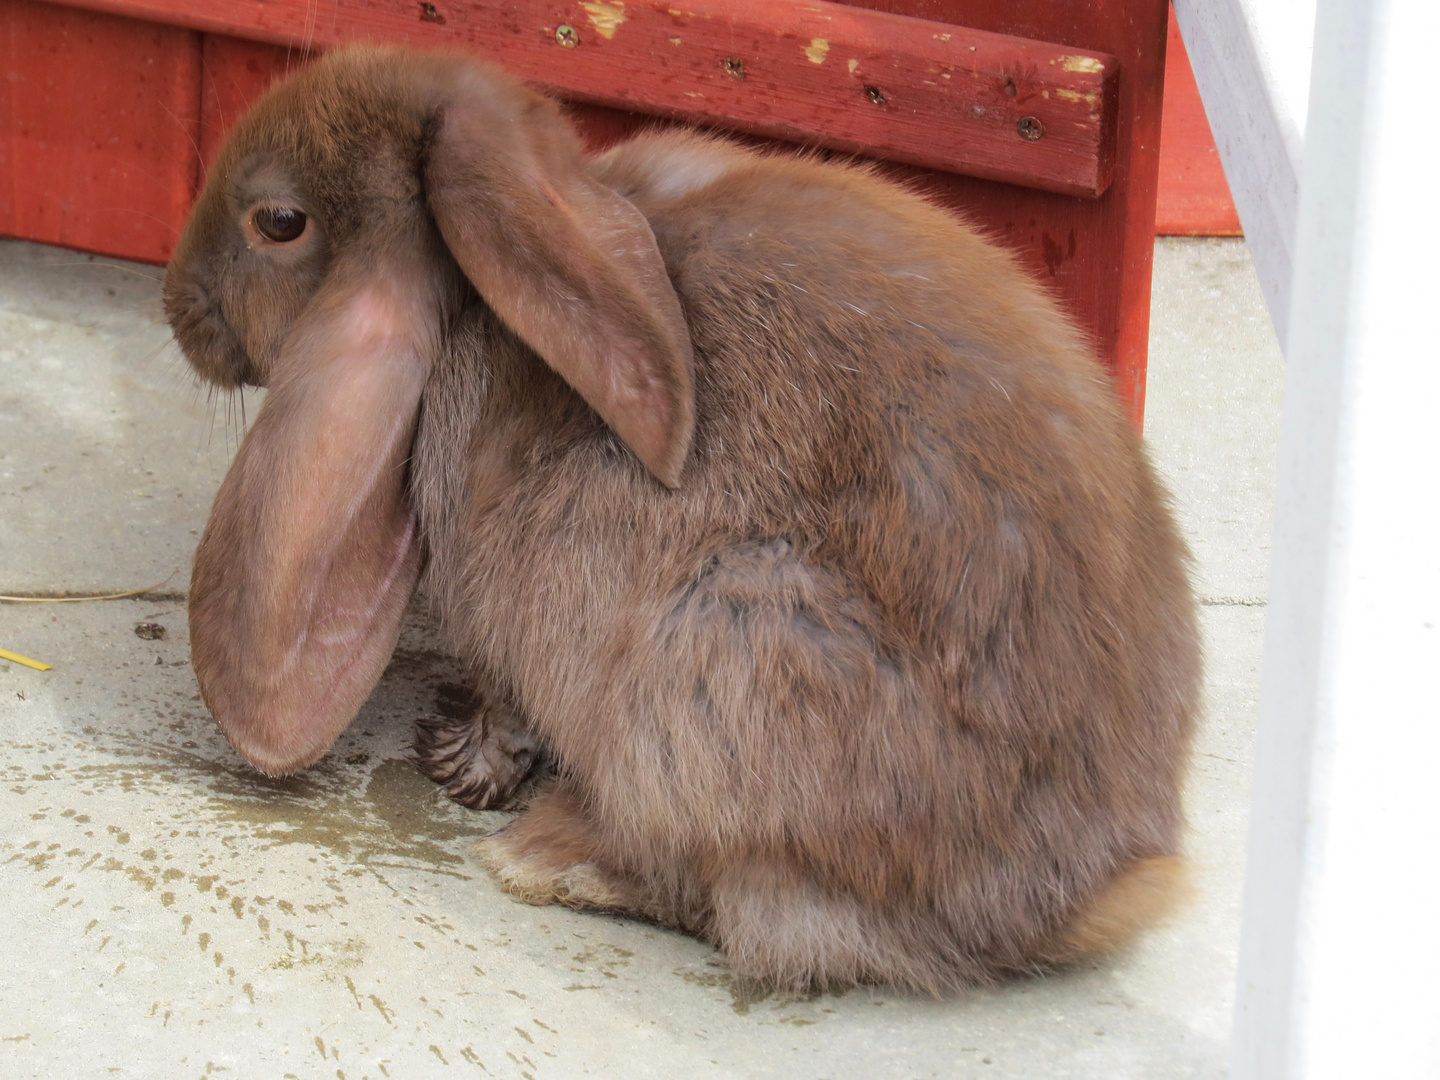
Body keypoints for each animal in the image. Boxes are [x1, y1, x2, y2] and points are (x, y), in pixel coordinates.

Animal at [163, 44, 1203, 996]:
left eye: (280, 222)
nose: (176, 306)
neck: (478, 308)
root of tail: (1070, 895)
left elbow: (507, 697)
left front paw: (465, 763)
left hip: (722, 641)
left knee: (729, 899)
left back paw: (547, 857)